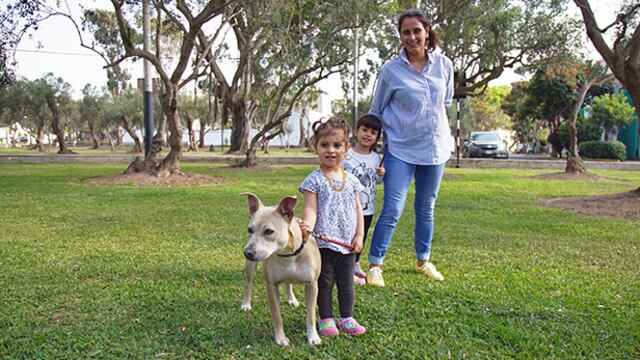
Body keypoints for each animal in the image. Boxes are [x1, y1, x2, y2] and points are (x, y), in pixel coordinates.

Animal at [239, 193, 322, 348]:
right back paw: (246, 303)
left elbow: (311, 315)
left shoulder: (312, 285)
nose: (248, 252)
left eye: (269, 231)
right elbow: (277, 316)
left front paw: (313, 336)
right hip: (250, 267)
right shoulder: (271, 286)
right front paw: (280, 338)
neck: (288, 254)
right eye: (249, 229)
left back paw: (292, 299)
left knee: (288, 283)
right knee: (248, 284)